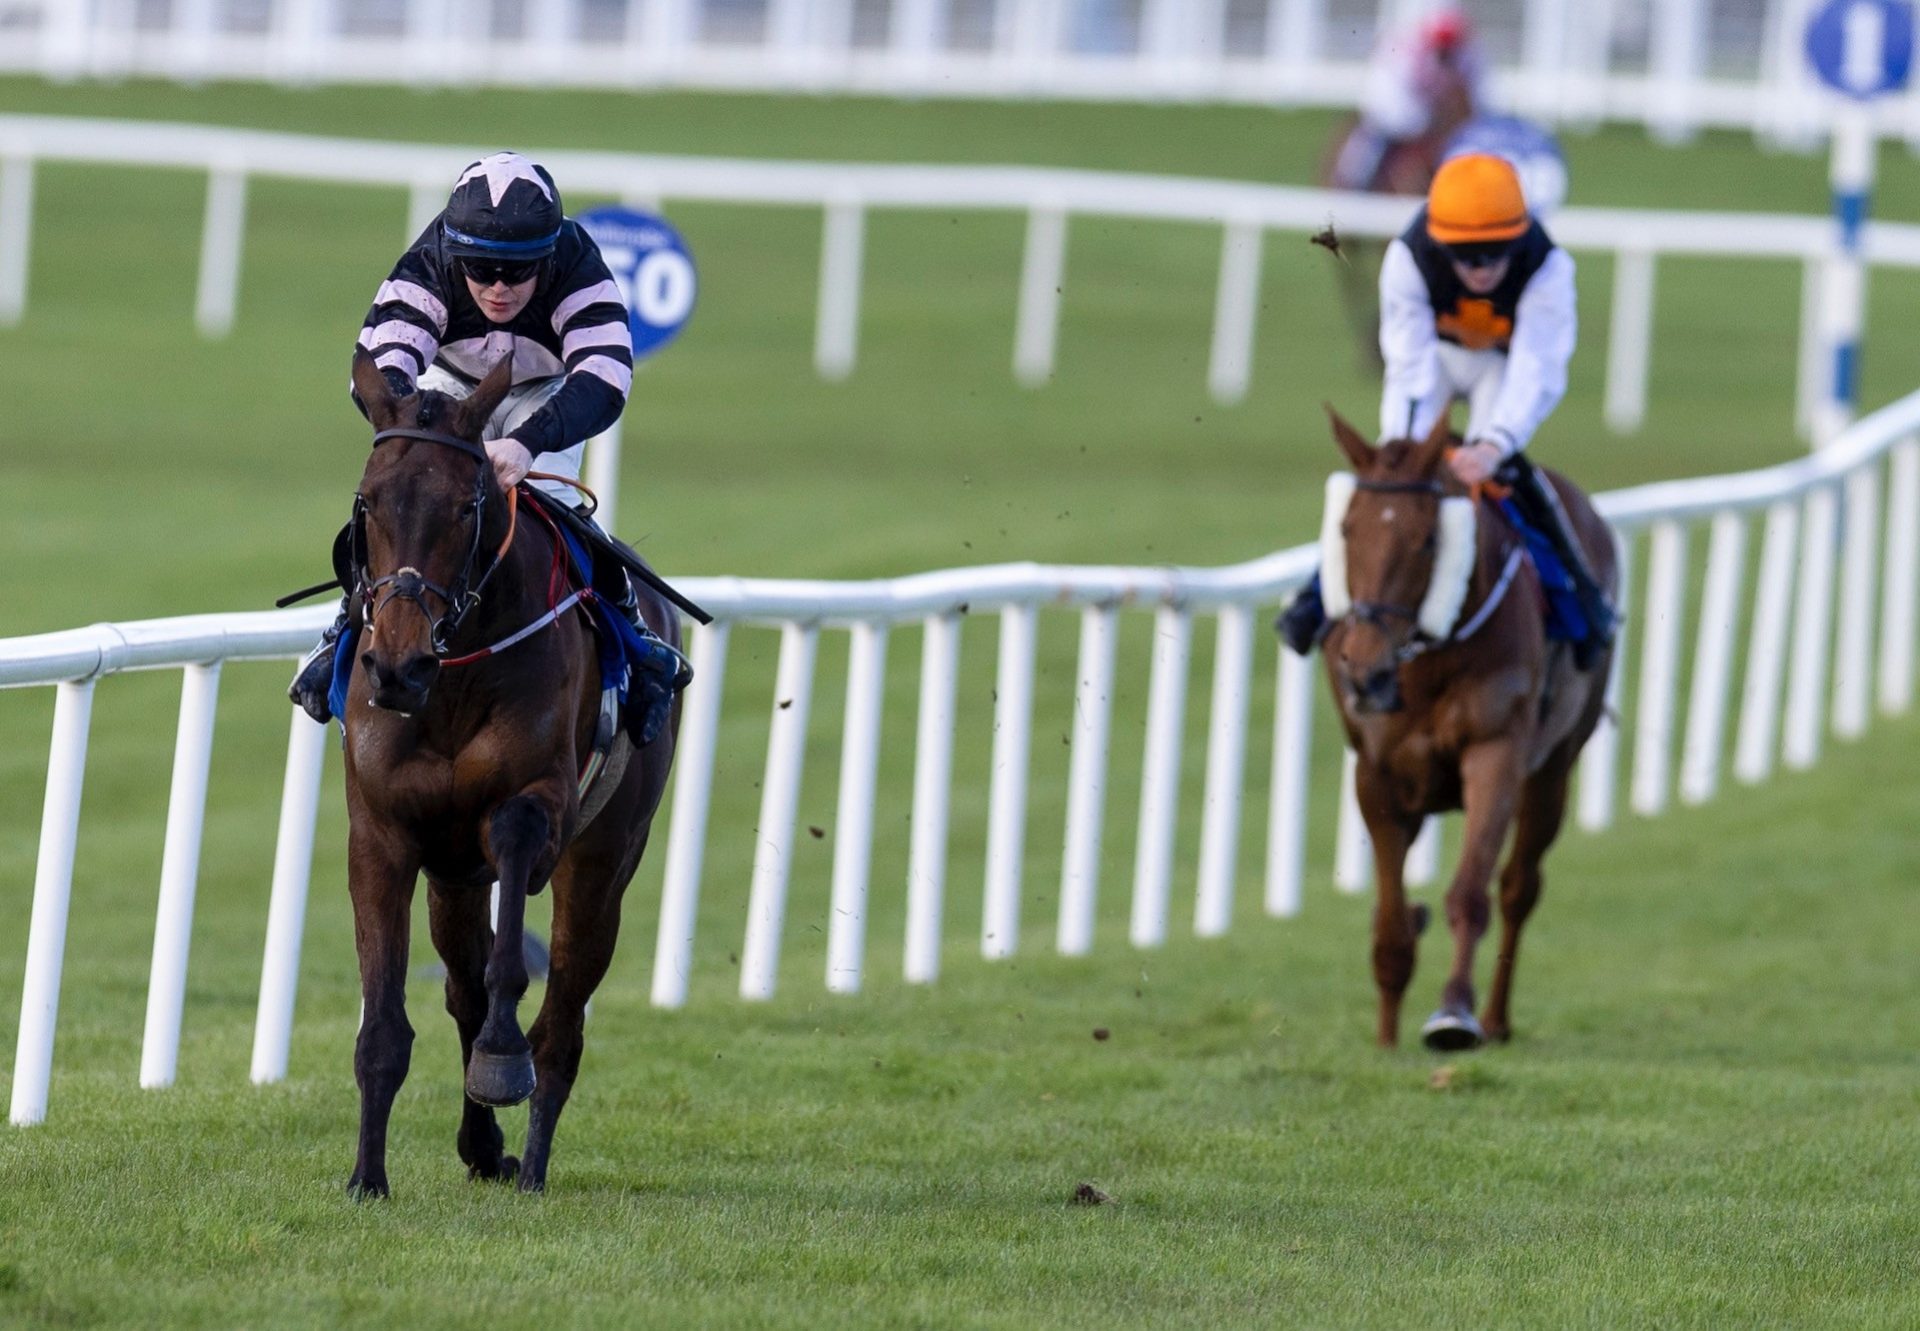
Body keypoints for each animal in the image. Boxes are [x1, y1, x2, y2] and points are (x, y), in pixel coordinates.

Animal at [341, 345, 679, 1190]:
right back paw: (484, 1146)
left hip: (604, 863)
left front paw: (502, 1058)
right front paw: (367, 1177)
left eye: (467, 507)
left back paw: (530, 1160)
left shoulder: (537, 806)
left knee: (560, 1022)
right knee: (462, 987)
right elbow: (385, 1024)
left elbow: (512, 967)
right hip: (453, 877)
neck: (453, 679)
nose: (397, 667)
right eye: (368, 503)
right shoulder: (385, 833)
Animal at [1313, 407, 1612, 1052]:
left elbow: (1471, 893)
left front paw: (1453, 1013)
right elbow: (1392, 922)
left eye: (1428, 538)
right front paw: (1385, 1040)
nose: (1365, 669)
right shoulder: (1376, 775)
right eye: (1347, 529)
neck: (1427, 662)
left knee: (1519, 887)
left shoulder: (1495, 755)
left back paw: (1496, 1019)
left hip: (1553, 769)